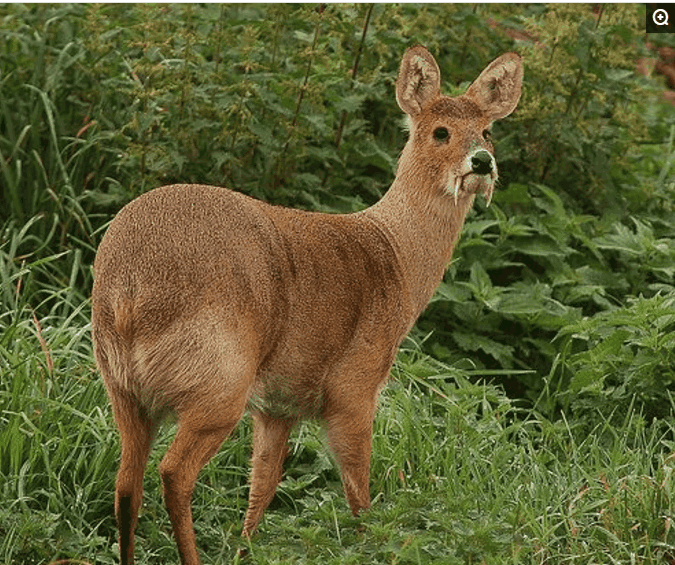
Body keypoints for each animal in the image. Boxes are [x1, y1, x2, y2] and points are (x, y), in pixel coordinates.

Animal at [91, 45, 524, 564]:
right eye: (440, 131)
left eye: (488, 130)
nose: (481, 161)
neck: (394, 258)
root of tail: (127, 290)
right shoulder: (353, 387)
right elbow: (359, 493)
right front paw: (372, 546)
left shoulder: (279, 404)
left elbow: (262, 486)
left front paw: (246, 550)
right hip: (218, 379)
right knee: (174, 473)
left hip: (123, 387)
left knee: (125, 486)